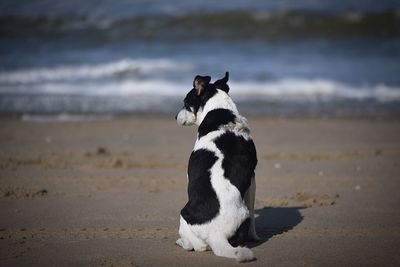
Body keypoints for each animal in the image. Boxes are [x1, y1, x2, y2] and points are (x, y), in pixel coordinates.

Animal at [176, 72, 260, 262]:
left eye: (185, 102)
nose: (175, 116)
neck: (221, 112)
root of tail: (217, 234)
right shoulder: (252, 178)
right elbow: (253, 213)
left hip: (183, 215)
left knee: (196, 246)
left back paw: (181, 242)